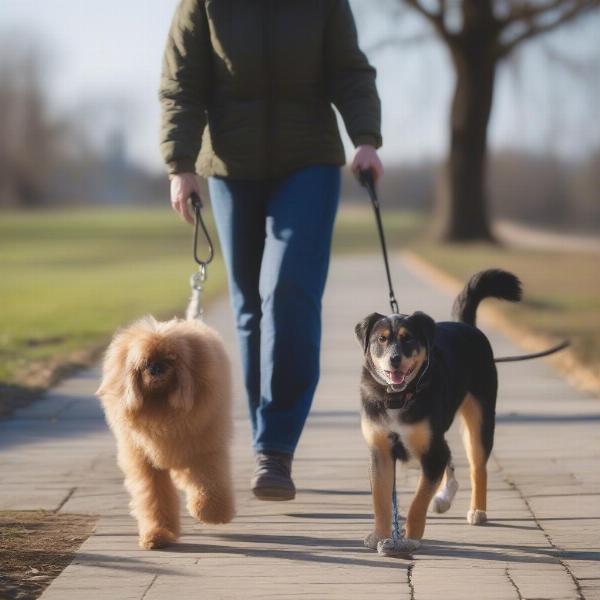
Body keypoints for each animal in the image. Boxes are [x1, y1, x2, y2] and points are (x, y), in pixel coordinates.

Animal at [96, 316, 234, 552]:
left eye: (170, 359)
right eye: (145, 363)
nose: (156, 368)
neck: (161, 405)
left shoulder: (205, 450)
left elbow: (210, 482)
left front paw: (211, 512)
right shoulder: (146, 466)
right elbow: (154, 500)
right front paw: (157, 533)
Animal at [356, 270, 520, 556]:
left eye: (408, 338)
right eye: (381, 339)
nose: (395, 359)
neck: (398, 397)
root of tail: (467, 327)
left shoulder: (432, 452)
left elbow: (418, 500)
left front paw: (410, 538)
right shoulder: (380, 451)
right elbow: (381, 499)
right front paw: (380, 535)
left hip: (479, 420)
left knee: (478, 466)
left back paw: (477, 510)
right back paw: (445, 496)